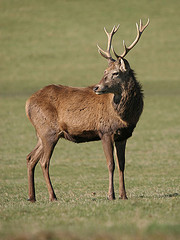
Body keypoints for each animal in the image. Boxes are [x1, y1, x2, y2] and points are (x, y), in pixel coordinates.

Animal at [25, 19, 149, 202]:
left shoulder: (124, 135)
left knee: (30, 158)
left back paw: (32, 197)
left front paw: (124, 195)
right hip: (49, 131)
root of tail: (27, 103)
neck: (125, 116)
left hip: (41, 133)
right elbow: (110, 164)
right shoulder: (105, 131)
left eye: (115, 73)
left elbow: (122, 165)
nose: (97, 87)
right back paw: (52, 196)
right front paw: (111, 195)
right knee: (43, 162)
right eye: (104, 71)